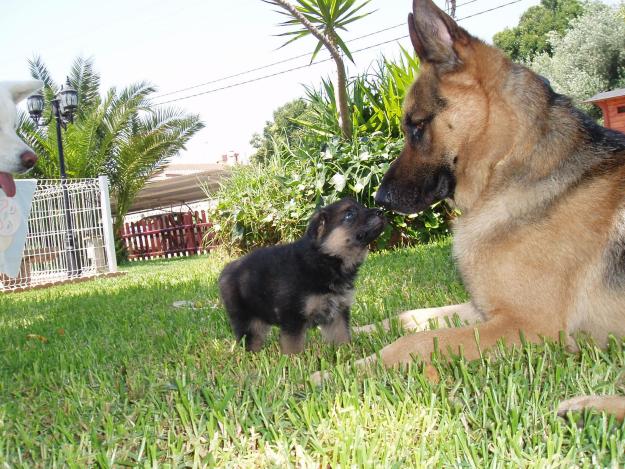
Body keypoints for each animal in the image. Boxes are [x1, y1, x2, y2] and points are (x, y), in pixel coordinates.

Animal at [219, 197, 386, 354]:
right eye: (349, 214)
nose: (381, 211)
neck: (324, 260)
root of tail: (226, 270)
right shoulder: (293, 317)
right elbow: (294, 347)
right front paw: (293, 362)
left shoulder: (338, 312)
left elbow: (342, 336)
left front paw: (346, 355)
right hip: (247, 320)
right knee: (251, 341)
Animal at [312, 0, 625, 418]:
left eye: (416, 126)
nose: (379, 199)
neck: (507, 163)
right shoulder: (485, 309)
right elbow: (409, 318)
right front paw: (348, 337)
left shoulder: (527, 325)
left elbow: (415, 342)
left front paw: (341, 373)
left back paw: (585, 408)